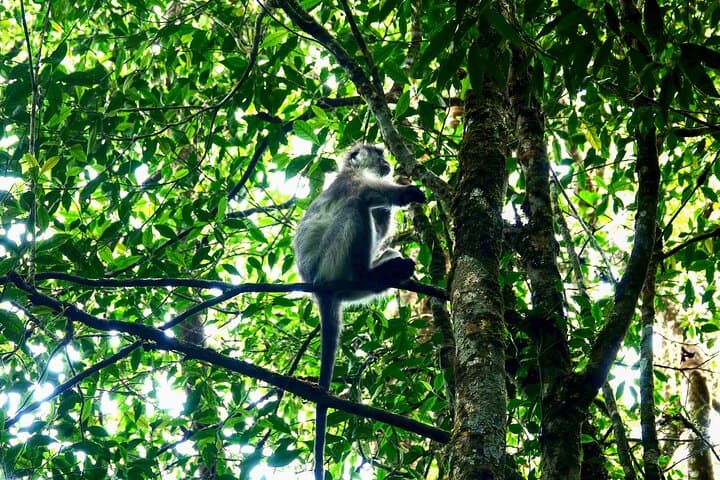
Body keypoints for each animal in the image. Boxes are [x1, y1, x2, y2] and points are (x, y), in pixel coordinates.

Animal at [293, 144, 426, 479]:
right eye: (377, 153)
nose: (386, 161)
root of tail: (319, 289)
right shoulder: (350, 180)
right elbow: (367, 194)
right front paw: (407, 192)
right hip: (331, 262)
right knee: (356, 205)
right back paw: (371, 273)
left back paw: (387, 272)